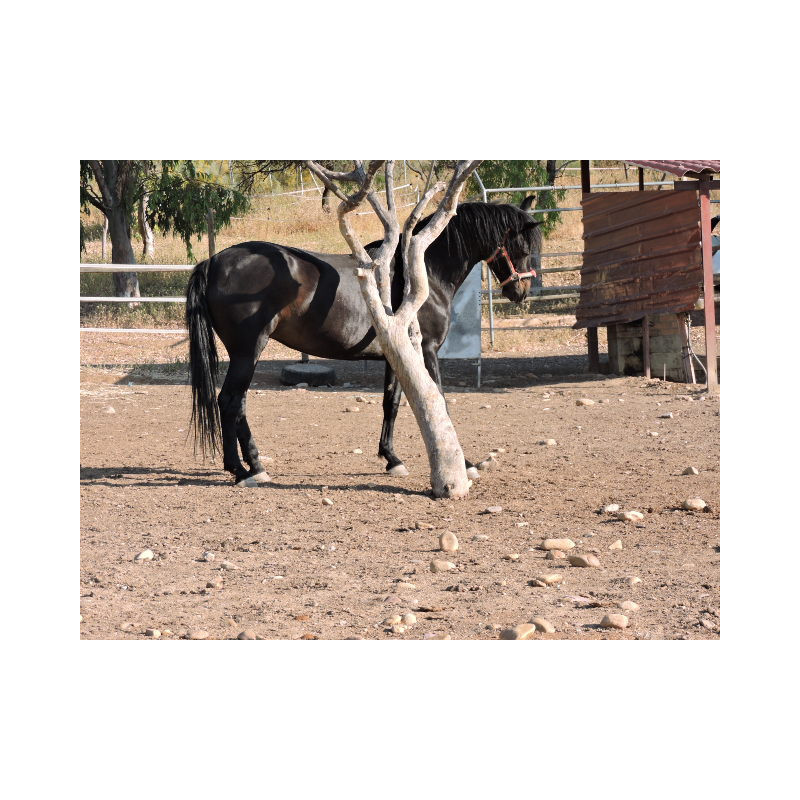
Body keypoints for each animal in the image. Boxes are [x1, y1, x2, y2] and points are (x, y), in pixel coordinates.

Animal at [186, 198, 542, 486]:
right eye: (524, 249)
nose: (522, 292)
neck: (421, 272)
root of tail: (213, 263)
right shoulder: (426, 351)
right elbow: (438, 400)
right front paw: (465, 463)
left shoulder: (396, 357)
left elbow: (391, 403)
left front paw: (392, 459)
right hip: (248, 350)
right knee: (229, 401)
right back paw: (241, 471)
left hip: (246, 354)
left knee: (239, 404)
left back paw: (255, 464)